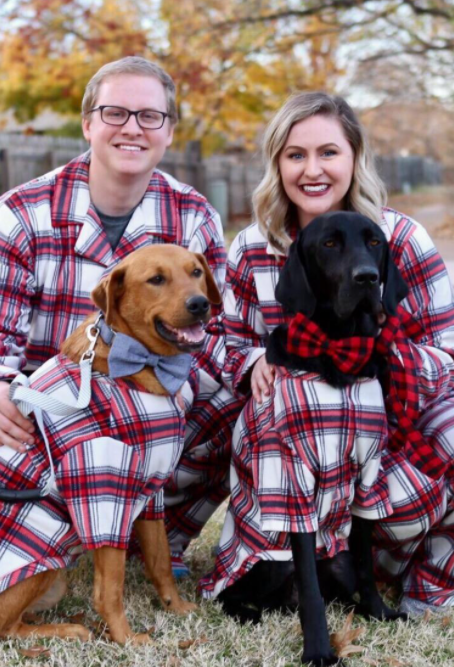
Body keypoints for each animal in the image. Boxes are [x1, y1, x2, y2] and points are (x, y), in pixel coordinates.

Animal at [0, 244, 222, 640]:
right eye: (156, 279)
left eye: (196, 272)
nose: (199, 304)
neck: (138, 363)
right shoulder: (102, 489)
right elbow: (110, 587)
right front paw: (126, 639)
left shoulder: (150, 488)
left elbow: (160, 561)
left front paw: (176, 607)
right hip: (43, 553)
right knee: (8, 627)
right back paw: (68, 629)